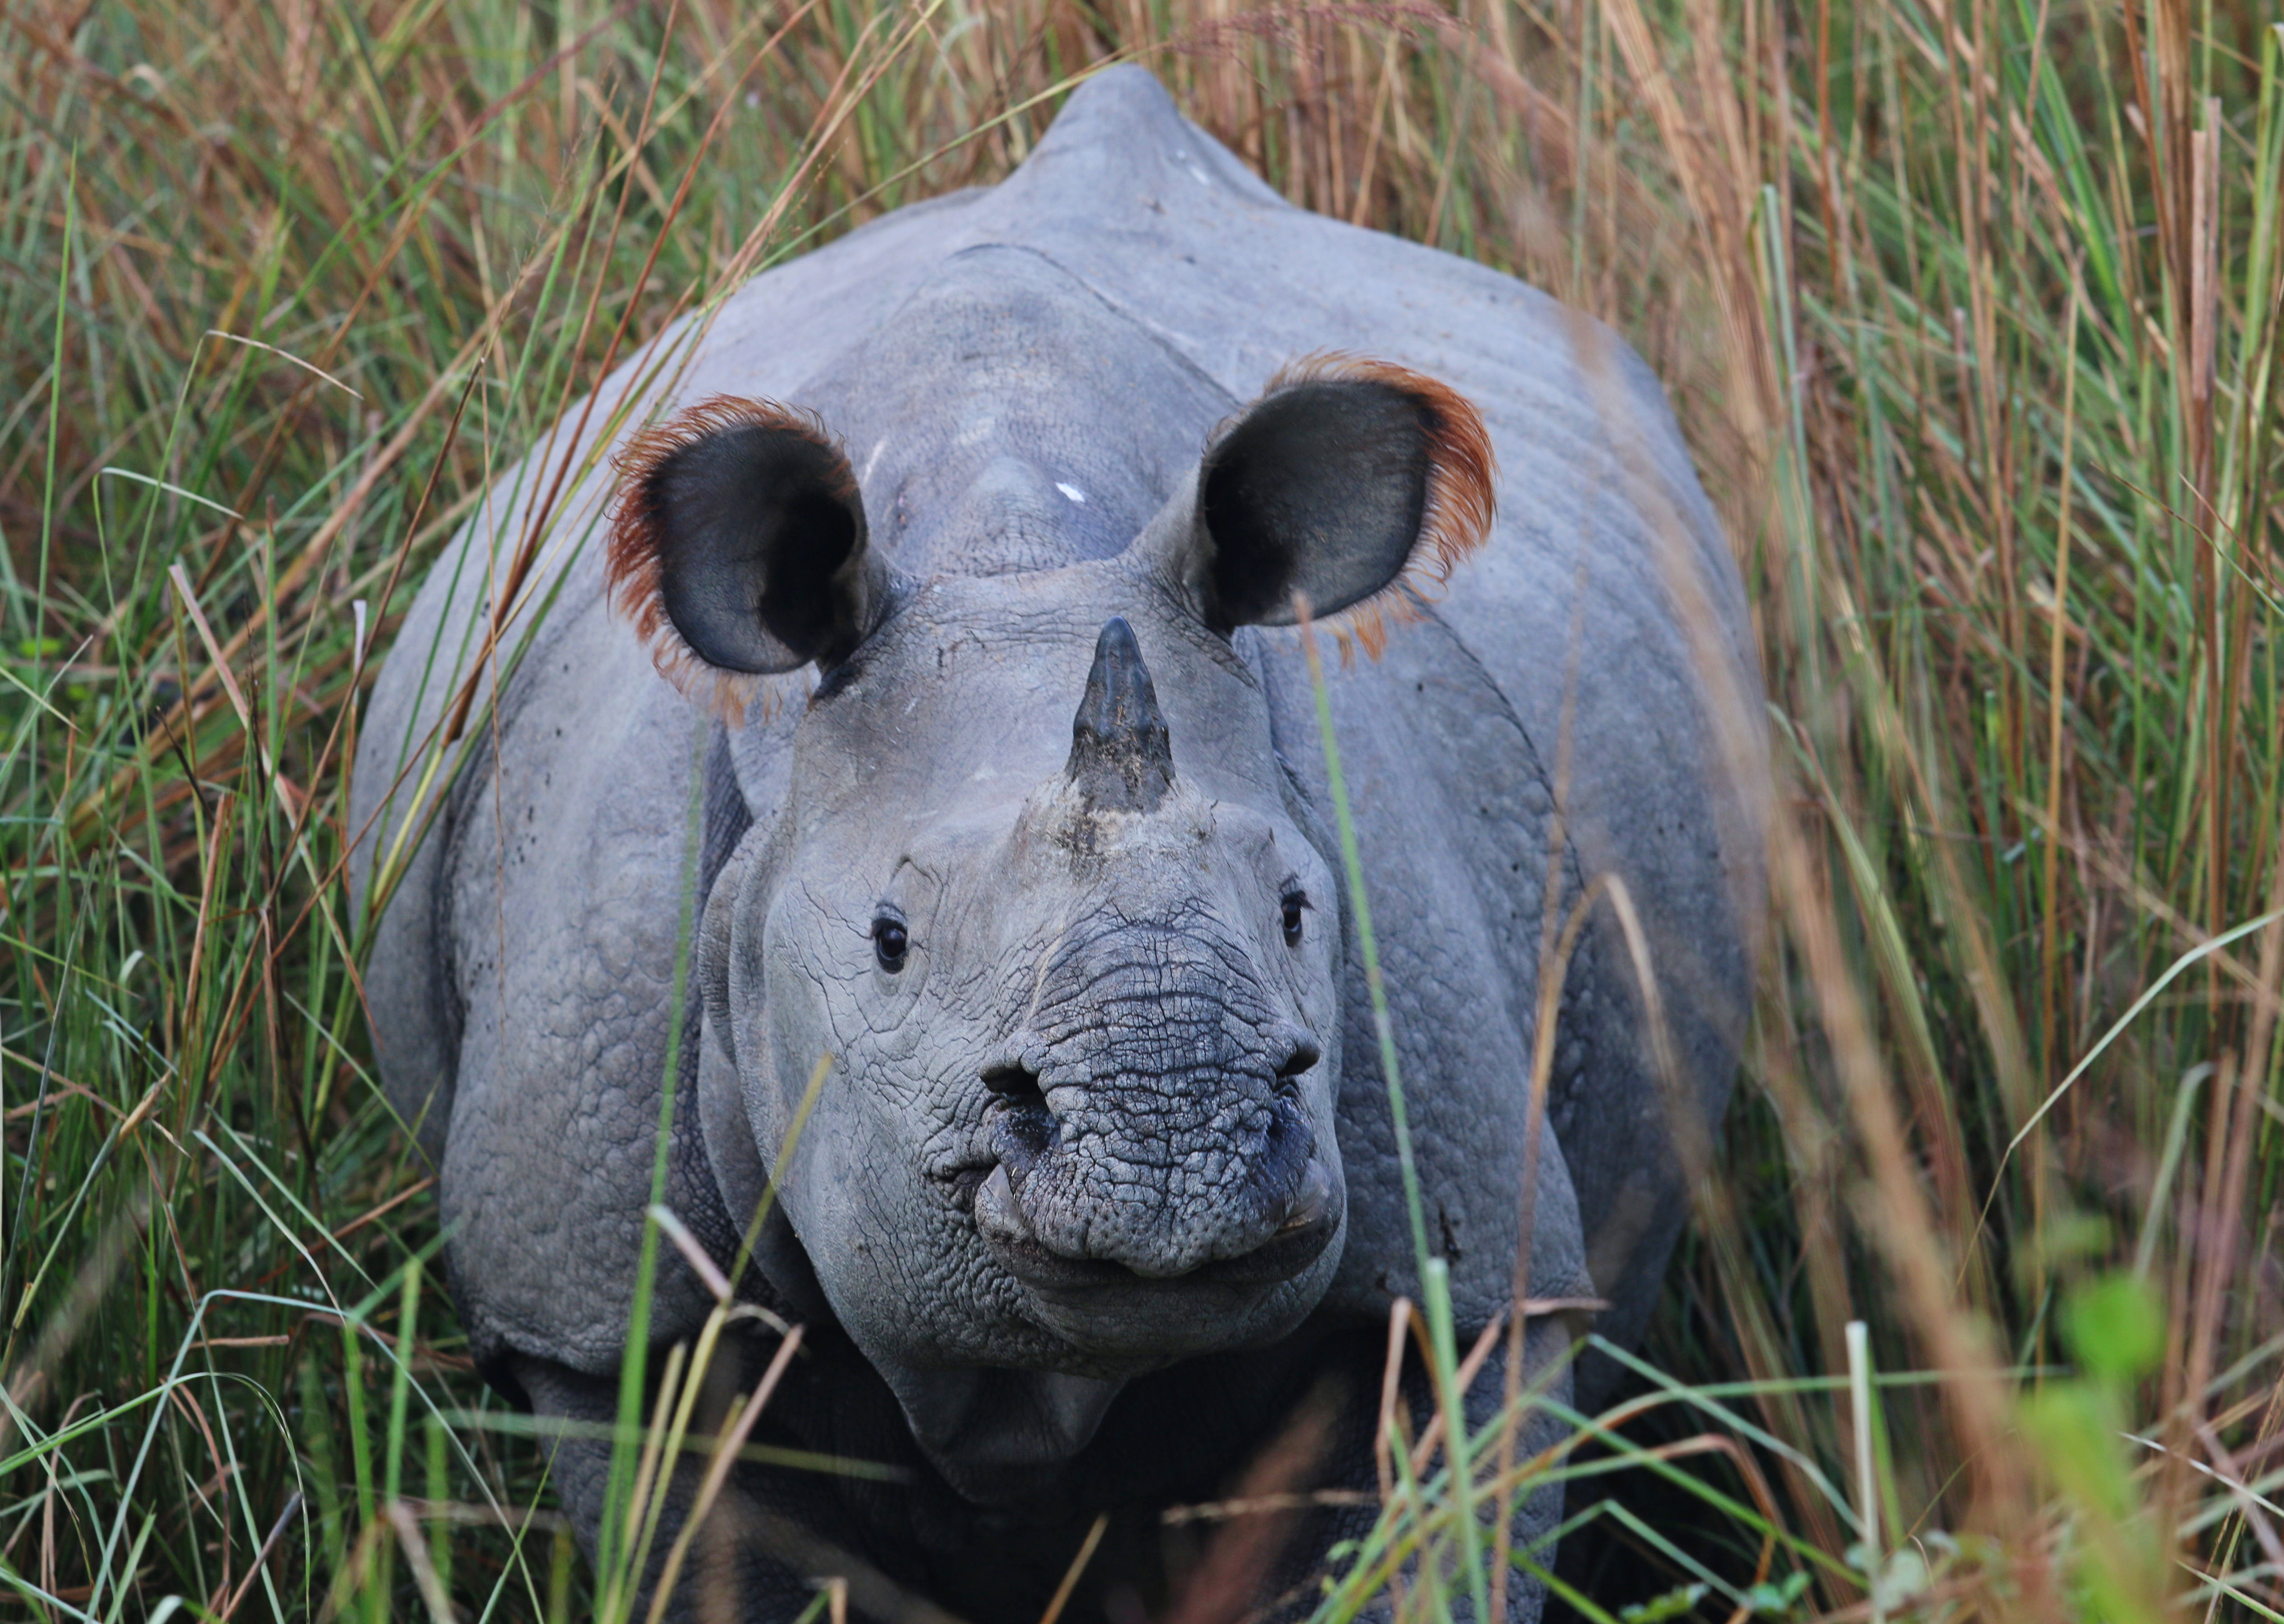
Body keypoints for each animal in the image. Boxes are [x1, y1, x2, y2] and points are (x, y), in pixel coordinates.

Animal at [350, 66, 1765, 1623]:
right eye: (887, 942)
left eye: (1296, 907)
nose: (1171, 1146)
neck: (1009, 553)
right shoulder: (595, 1301)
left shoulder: (1474, 1269)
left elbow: (1428, 1538)